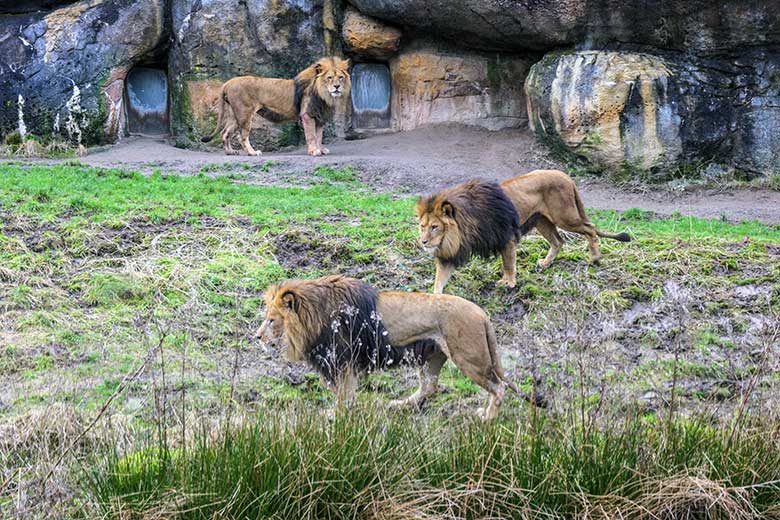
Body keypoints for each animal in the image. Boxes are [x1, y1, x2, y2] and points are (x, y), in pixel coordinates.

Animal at [201, 56, 350, 155]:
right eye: (329, 77)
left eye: (340, 77)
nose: (337, 87)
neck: (323, 94)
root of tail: (228, 82)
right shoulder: (307, 115)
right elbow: (311, 136)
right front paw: (314, 151)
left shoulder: (319, 117)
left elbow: (319, 136)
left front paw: (321, 149)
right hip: (245, 113)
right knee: (241, 136)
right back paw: (252, 152)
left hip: (234, 115)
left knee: (225, 133)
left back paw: (230, 152)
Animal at [254, 274, 544, 420]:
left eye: (271, 320)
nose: (257, 337)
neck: (314, 316)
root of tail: (482, 313)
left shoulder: (343, 361)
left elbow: (343, 394)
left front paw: (335, 413)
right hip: (432, 357)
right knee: (430, 387)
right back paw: (400, 405)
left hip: (469, 358)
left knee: (499, 386)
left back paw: (488, 415)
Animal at [418, 170, 632, 292]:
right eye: (422, 226)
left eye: (435, 227)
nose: (423, 242)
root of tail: (566, 176)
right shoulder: (449, 255)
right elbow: (439, 280)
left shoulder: (506, 238)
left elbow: (508, 264)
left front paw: (509, 283)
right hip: (542, 221)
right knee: (558, 241)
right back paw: (545, 264)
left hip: (565, 217)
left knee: (591, 229)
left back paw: (594, 258)